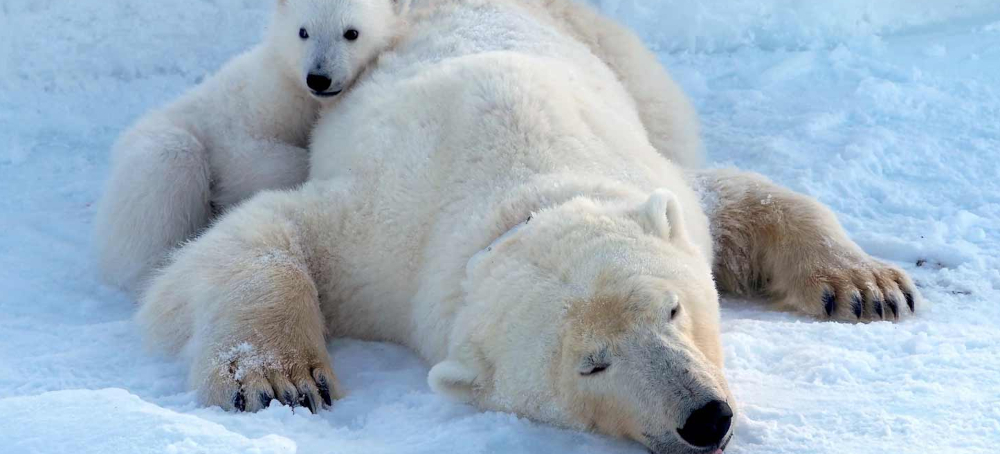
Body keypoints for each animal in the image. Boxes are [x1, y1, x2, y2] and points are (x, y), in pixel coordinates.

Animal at [92, 0, 411, 296]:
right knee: (169, 168)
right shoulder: (252, 109)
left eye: (351, 32)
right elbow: (247, 158)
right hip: (157, 146)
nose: (318, 77)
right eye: (303, 31)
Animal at [136, 0, 920, 452]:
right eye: (591, 364)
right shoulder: (385, 241)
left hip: (623, 59)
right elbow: (262, 235)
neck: (522, 188)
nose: (706, 419)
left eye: (672, 309)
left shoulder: (645, 172)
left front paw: (867, 286)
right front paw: (282, 381)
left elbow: (734, 199)